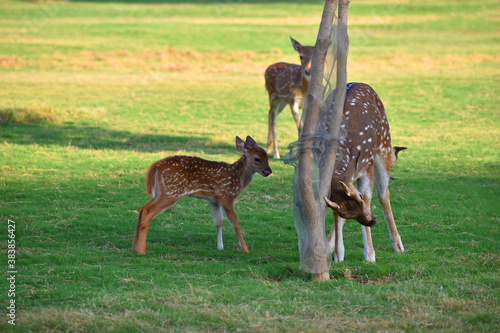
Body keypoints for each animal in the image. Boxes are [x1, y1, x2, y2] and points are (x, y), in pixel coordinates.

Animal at [131, 136, 272, 253]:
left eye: (268, 157)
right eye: (257, 159)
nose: (269, 171)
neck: (238, 178)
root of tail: (156, 166)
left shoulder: (213, 200)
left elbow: (219, 221)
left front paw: (220, 247)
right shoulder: (226, 195)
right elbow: (235, 223)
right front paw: (245, 249)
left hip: (161, 191)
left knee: (142, 209)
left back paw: (134, 248)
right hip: (172, 191)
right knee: (148, 211)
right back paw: (141, 250)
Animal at [324, 82, 406, 262]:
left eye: (360, 197)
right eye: (345, 214)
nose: (373, 221)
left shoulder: (367, 167)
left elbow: (369, 199)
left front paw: (370, 255)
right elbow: (335, 213)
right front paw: (338, 254)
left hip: (383, 144)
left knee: (384, 194)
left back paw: (398, 246)